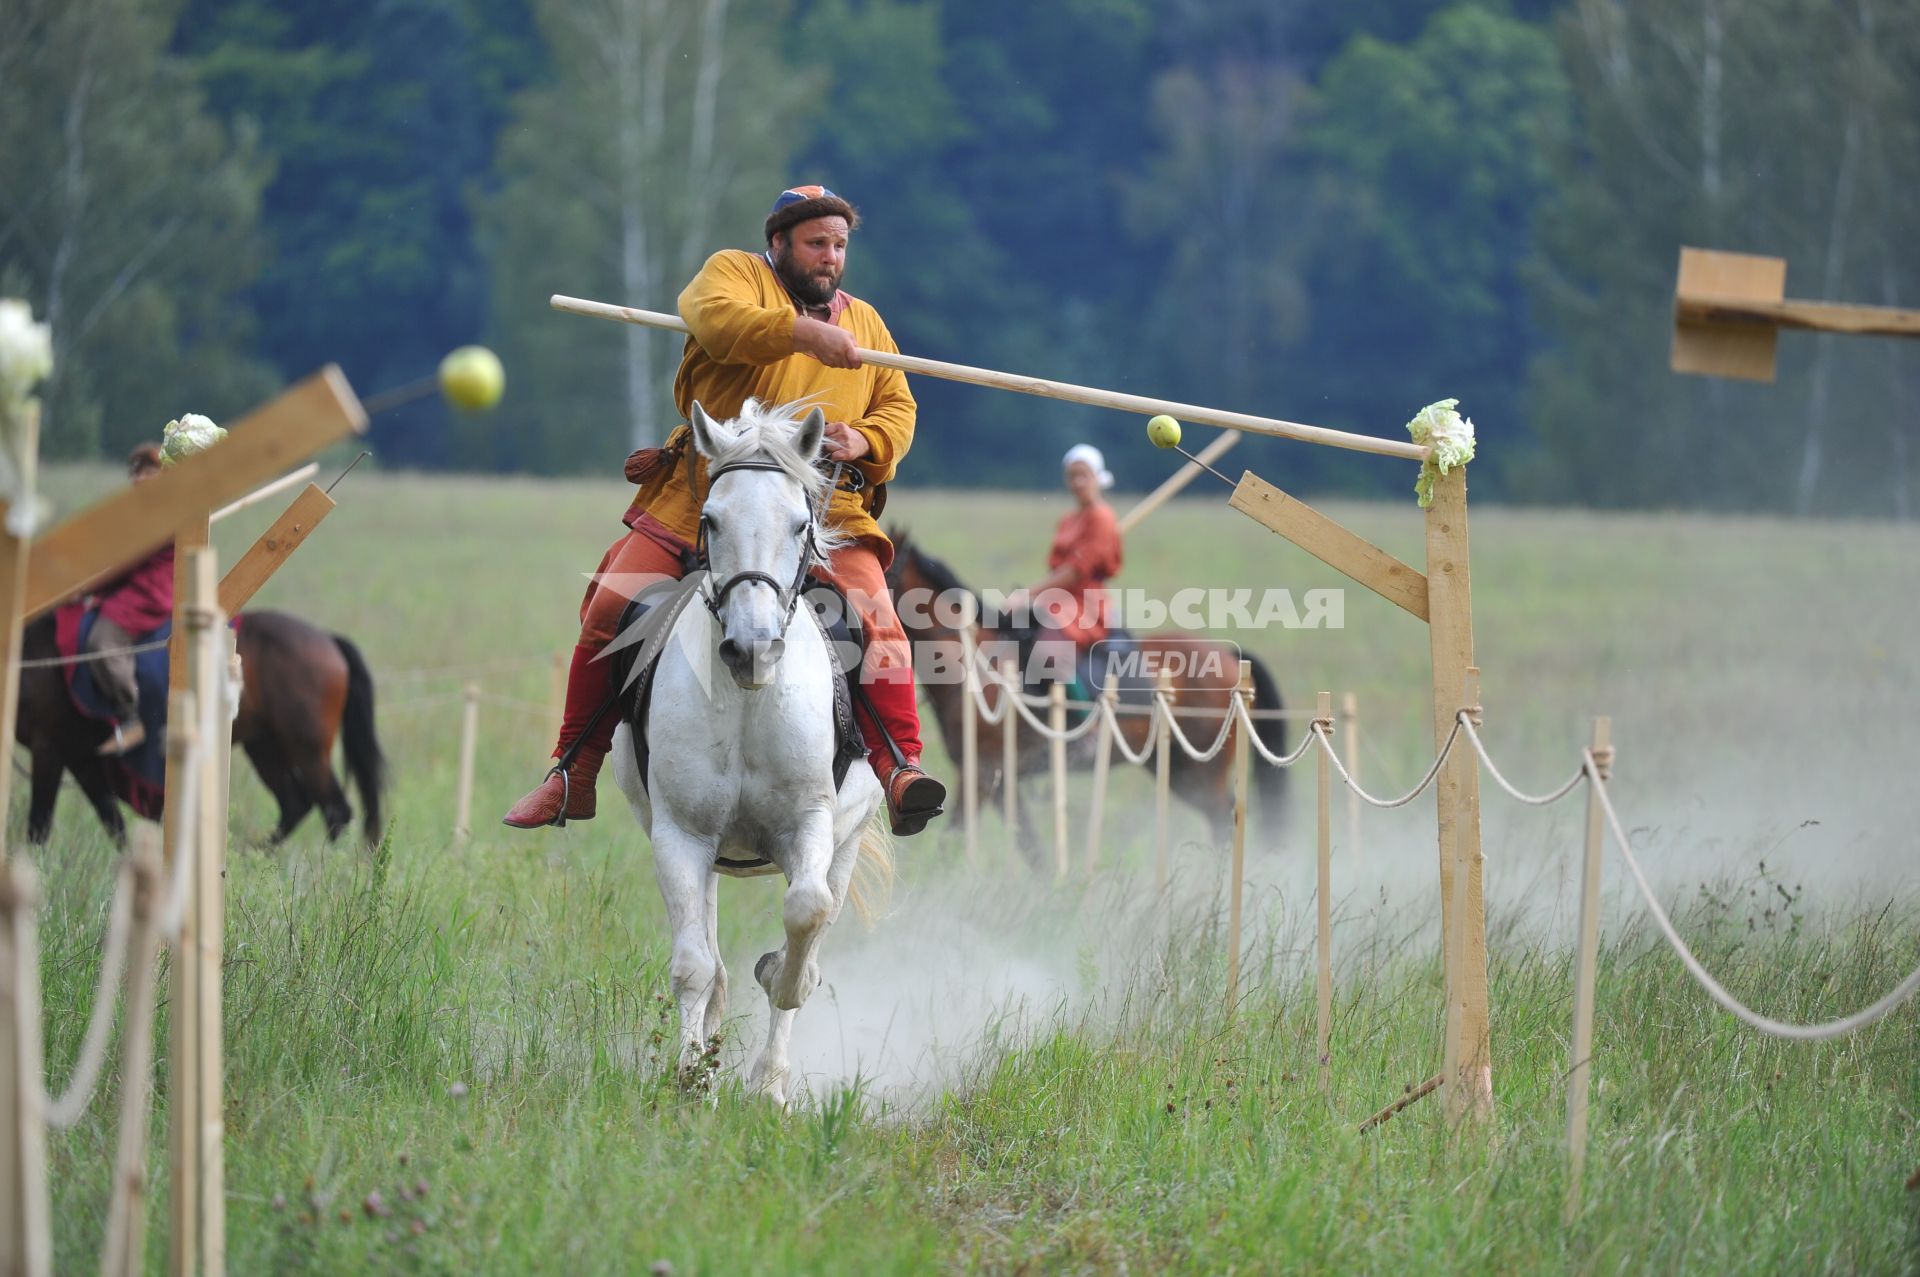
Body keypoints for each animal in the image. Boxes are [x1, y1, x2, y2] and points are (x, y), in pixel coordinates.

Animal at [16, 610, 385, 844]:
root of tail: (329, 639)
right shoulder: (82, 759)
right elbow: (114, 824)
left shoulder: (48, 749)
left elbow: (38, 825)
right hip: (265, 747)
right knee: (296, 804)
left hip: (307, 750)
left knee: (336, 810)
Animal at [606, 399, 890, 1106]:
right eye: (711, 519)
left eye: (800, 523)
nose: (752, 648)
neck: (745, 702)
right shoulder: (680, 833)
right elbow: (693, 965)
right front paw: (690, 1077)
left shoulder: (811, 825)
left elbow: (804, 921)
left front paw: (768, 1082)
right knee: (706, 947)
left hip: (848, 839)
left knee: (816, 919)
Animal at [883, 526, 1290, 856]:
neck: (976, 663)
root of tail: (1230, 656)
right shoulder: (1001, 781)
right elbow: (1031, 849)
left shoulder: (981, 775)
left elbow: (952, 840)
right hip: (1177, 769)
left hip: (1200, 773)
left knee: (1224, 819)